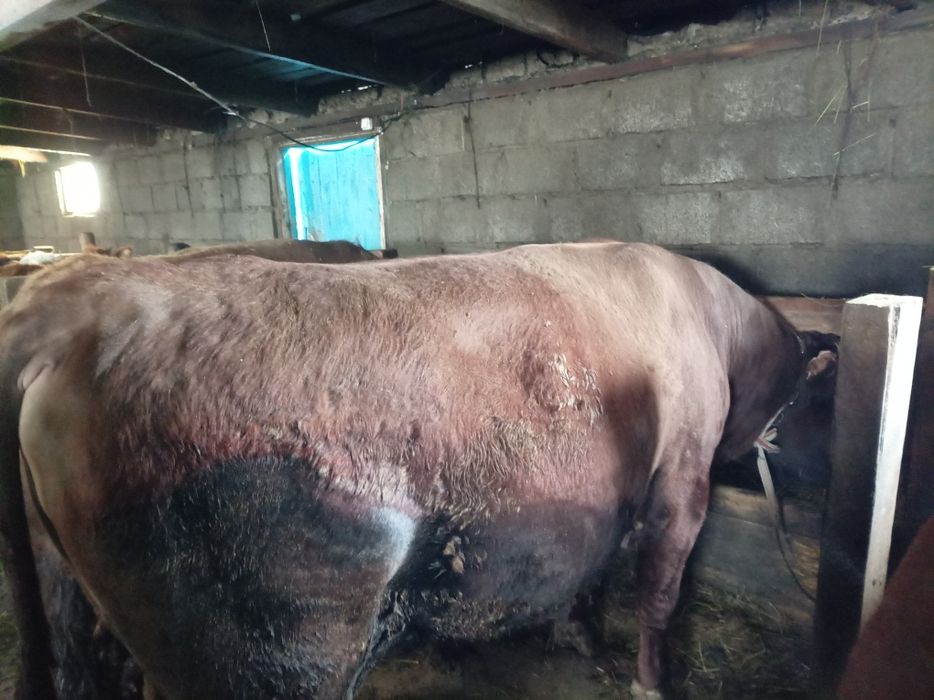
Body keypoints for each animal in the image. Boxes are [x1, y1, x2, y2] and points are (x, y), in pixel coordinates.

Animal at [0, 242, 835, 699]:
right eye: (813, 403)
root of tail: (72, 302)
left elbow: (590, 572)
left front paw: (578, 636)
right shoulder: (682, 477)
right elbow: (660, 590)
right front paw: (651, 680)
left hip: (71, 605)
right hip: (273, 648)